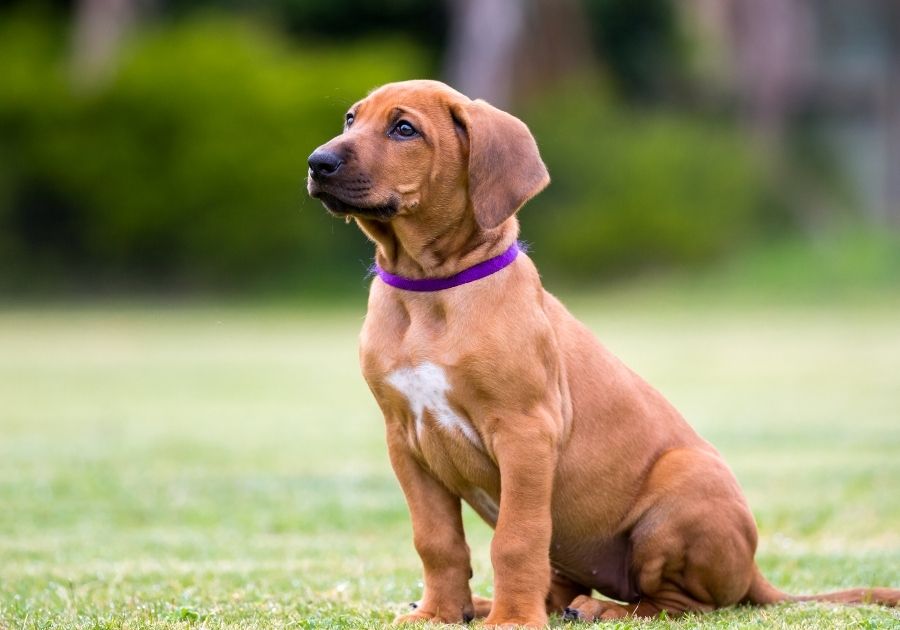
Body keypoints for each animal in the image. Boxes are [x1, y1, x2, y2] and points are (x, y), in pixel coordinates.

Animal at [306, 80, 896, 628]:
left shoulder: (525, 432)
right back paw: (496, 605)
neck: (429, 292)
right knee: (562, 586)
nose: (318, 162)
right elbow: (437, 540)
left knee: (683, 604)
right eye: (351, 119)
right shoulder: (406, 440)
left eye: (404, 129)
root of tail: (753, 570)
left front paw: (512, 620)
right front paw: (439, 613)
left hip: (679, 493)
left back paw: (599, 609)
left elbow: (516, 538)